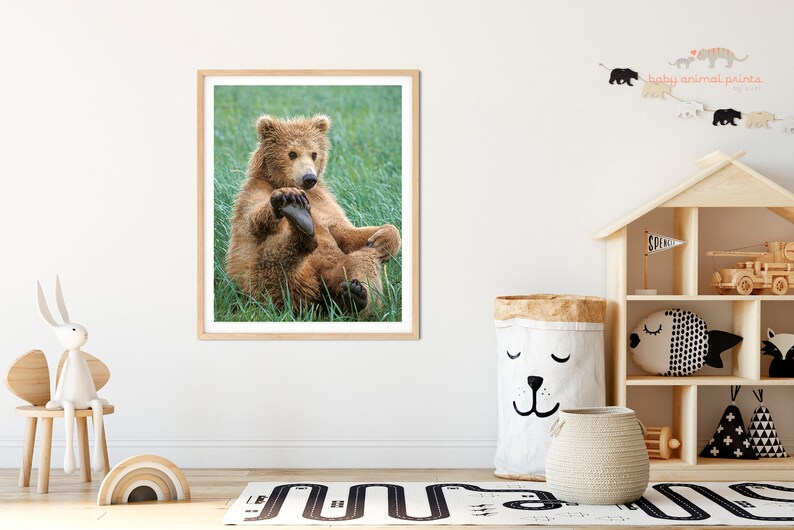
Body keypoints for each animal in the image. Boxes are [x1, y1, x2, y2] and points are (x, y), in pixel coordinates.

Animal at [225, 114, 401, 315]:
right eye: (292, 153)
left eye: (314, 153)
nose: (309, 178)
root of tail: (315, 291)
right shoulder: (253, 192)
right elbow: (255, 220)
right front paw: (288, 197)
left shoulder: (325, 204)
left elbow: (347, 233)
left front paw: (382, 241)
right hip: (258, 280)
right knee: (275, 263)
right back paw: (300, 222)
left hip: (337, 270)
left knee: (362, 260)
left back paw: (356, 297)